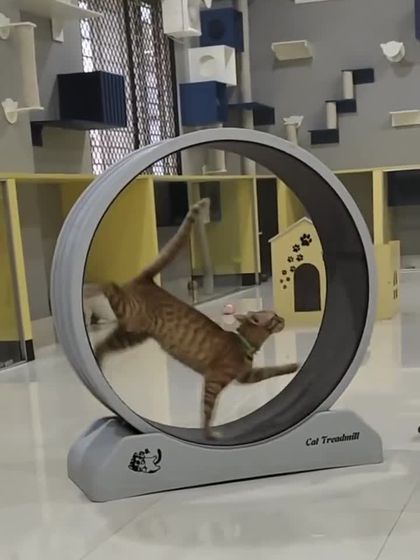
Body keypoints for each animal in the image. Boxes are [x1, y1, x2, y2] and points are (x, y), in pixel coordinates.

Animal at [94, 198, 298, 439]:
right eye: (275, 317)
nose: (283, 318)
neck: (244, 343)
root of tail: (148, 281)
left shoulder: (247, 376)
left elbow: (272, 370)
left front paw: (293, 366)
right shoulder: (213, 381)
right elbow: (208, 412)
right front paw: (209, 434)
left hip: (131, 334)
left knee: (102, 343)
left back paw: (98, 358)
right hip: (128, 313)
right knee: (109, 286)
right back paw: (92, 285)